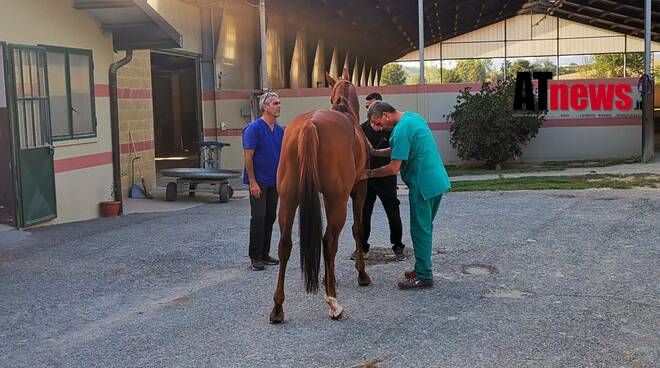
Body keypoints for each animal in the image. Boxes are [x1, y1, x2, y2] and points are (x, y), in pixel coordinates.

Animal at [268, 69, 372, 322]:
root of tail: (310, 123)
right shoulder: (359, 189)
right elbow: (358, 228)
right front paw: (361, 274)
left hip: (288, 199)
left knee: (284, 244)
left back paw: (278, 307)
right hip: (338, 201)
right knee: (329, 241)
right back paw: (333, 302)